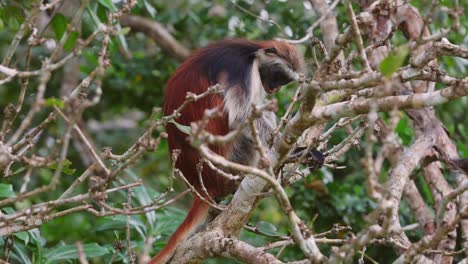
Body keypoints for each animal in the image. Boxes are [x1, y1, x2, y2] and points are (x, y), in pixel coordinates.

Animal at [152, 39, 308, 264]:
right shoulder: (240, 69)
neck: (250, 52)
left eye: (284, 81)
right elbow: (242, 116)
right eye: (278, 76)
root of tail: (201, 181)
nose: (275, 88)